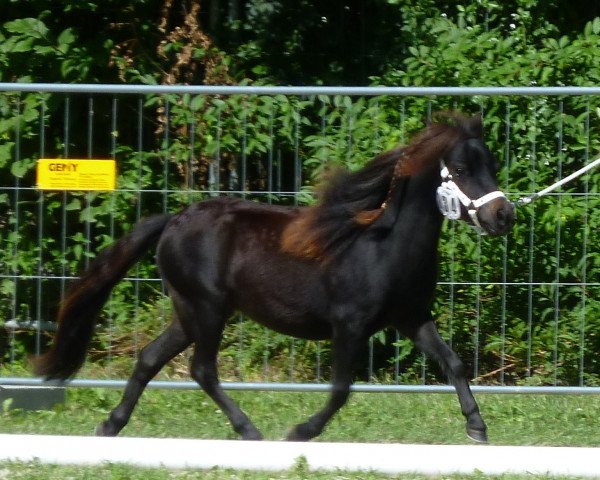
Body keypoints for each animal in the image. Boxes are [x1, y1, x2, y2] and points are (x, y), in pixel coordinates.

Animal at [35, 112, 516, 442]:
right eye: (461, 169)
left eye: (491, 164)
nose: (503, 215)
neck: (384, 246)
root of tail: (173, 220)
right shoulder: (350, 325)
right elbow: (341, 388)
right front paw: (301, 431)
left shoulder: (411, 318)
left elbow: (453, 362)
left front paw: (477, 427)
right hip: (207, 309)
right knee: (202, 369)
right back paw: (249, 430)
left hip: (188, 312)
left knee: (151, 359)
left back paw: (111, 425)